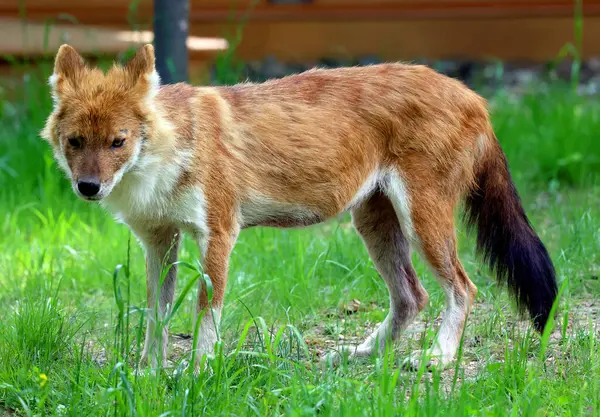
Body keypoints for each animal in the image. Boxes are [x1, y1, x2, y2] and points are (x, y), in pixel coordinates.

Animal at [41, 44, 556, 368]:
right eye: (76, 142)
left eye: (118, 141)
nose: (89, 187)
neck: (171, 150)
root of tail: (473, 95)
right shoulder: (159, 242)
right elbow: (156, 316)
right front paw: (148, 374)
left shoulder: (218, 235)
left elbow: (206, 315)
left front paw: (197, 373)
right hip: (373, 223)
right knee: (413, 296)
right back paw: (362, 354)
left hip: (422, 221)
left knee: (463, 288)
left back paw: (439, 358)